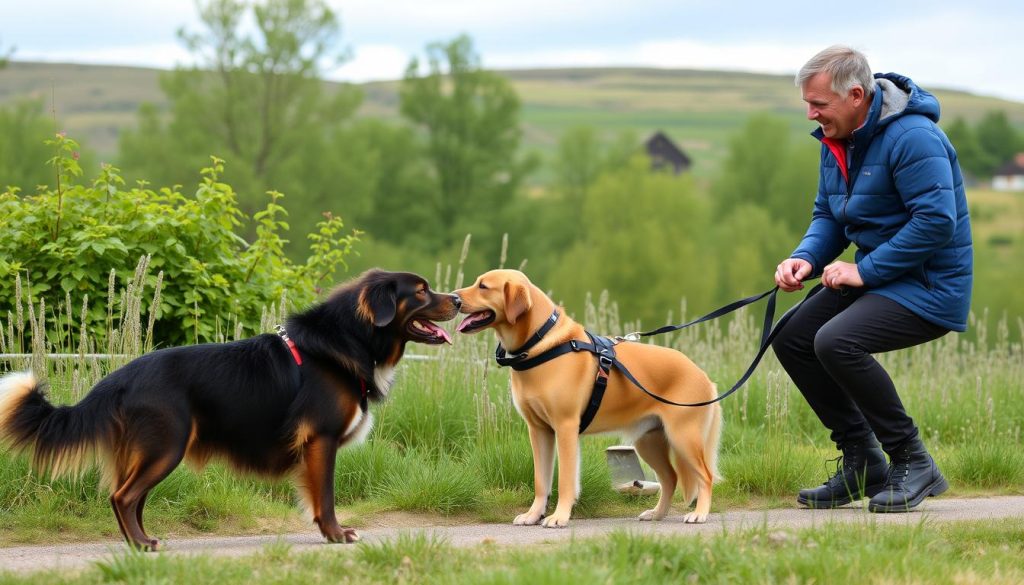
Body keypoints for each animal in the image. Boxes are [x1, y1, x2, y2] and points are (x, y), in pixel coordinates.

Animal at [0, 268, 458, 549]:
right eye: (420, 291)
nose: (456, 298)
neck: (349, 340)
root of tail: (119, 377)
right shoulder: (320, 439)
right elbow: (324, 497)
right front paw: (335, 534)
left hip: (152, 451)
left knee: (129, 498)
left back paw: (138, 543)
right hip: (165, 446)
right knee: (123, 496)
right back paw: (142, 544)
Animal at [452, 270, 724, 524]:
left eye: (483, 286)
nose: (453, 298)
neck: (541, 345)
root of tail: (702, 375)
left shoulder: (565, 427)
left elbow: (565, 480)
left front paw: (559, 517)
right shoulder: (539, 430)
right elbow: (541, 481)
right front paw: (533, 515)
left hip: (683, 436)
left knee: (705, 475)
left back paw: (699, 514)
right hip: (649, 441)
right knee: (671, 478)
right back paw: (657, 514)